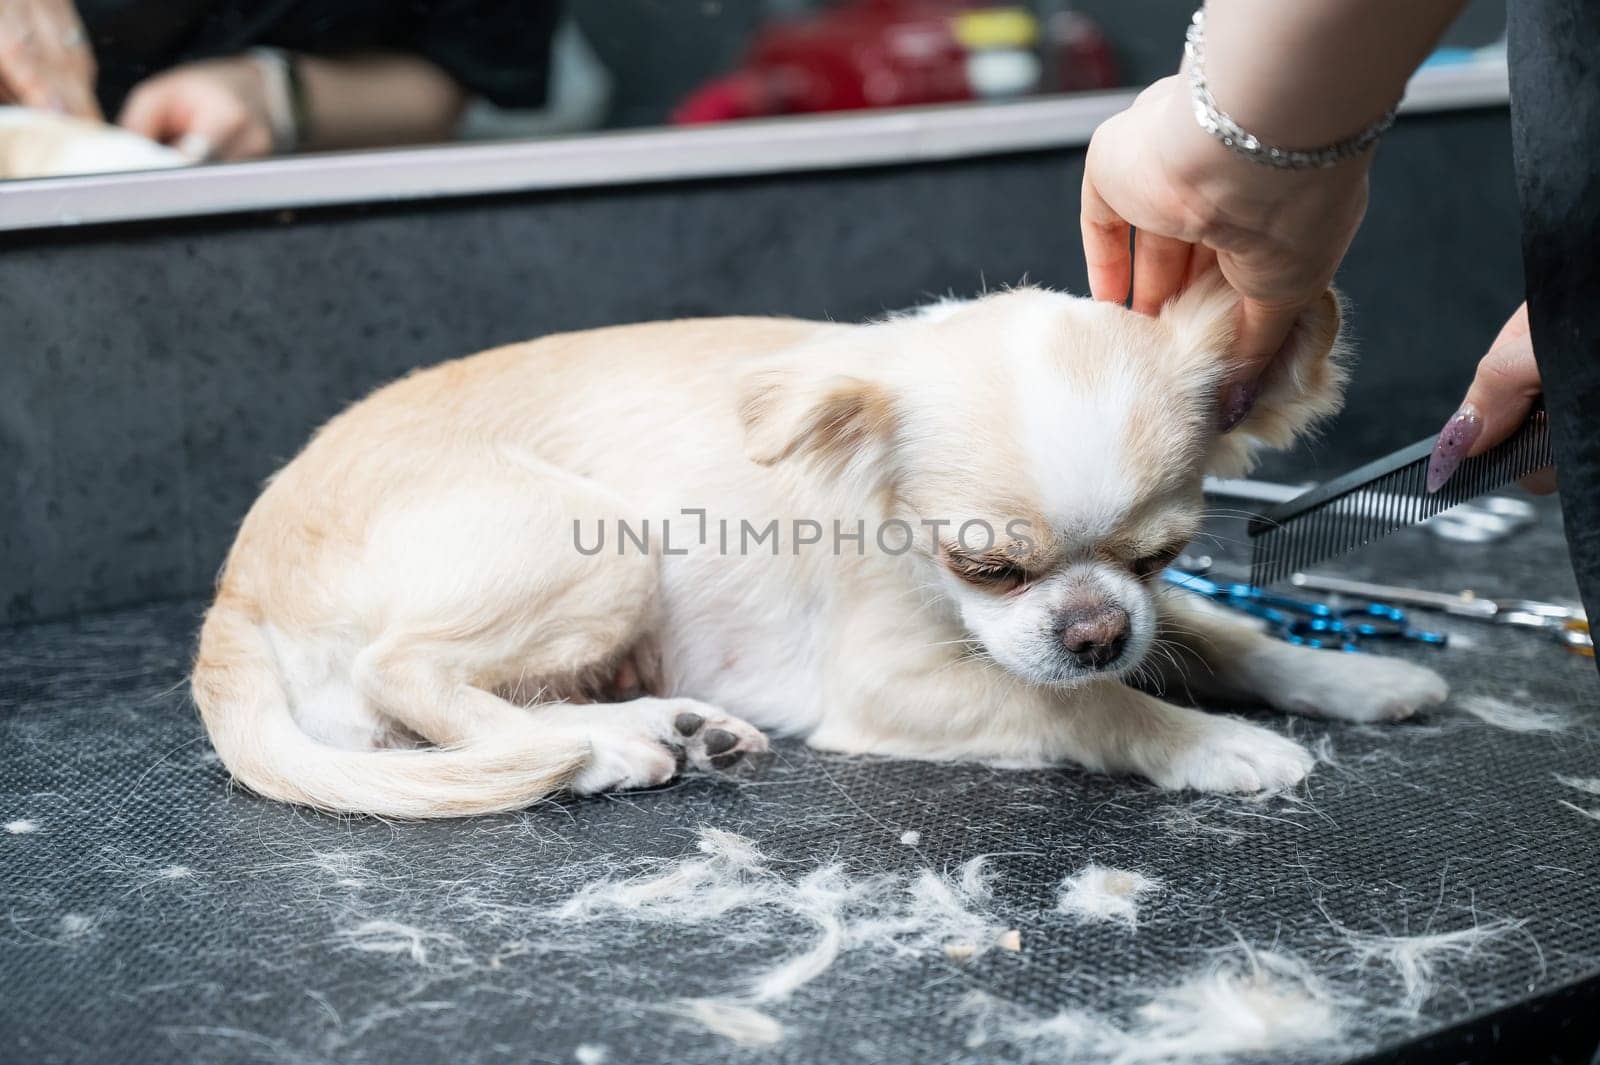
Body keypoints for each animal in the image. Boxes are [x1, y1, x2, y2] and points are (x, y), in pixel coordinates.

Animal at [190, 278, 1452, 815]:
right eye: (985, 566)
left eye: (1161, 554)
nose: (1096, 631)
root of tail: (232, 595)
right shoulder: (895, 680)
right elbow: (1084, 707)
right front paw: (1209, 742)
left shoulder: (1145, 616)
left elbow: (1227, 633)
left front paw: (1350, 675)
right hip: (600, 548)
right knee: (405, 680)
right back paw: (605, 749)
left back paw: (658, 728)